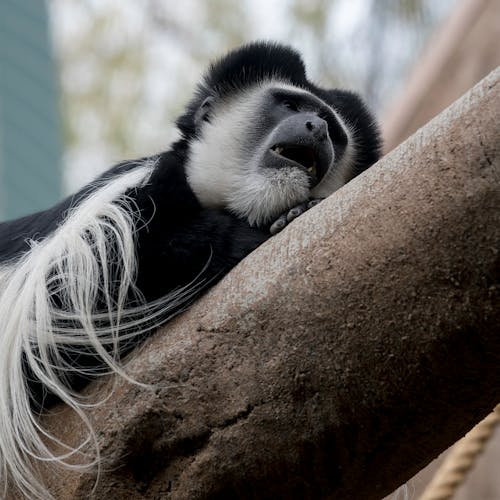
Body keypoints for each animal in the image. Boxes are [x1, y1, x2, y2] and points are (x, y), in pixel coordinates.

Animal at [0, 42, 380, 496]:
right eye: (290, 105)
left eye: (334, 130)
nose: (317, 127)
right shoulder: (124, 199)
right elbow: (70, 303)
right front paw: (256, 231)